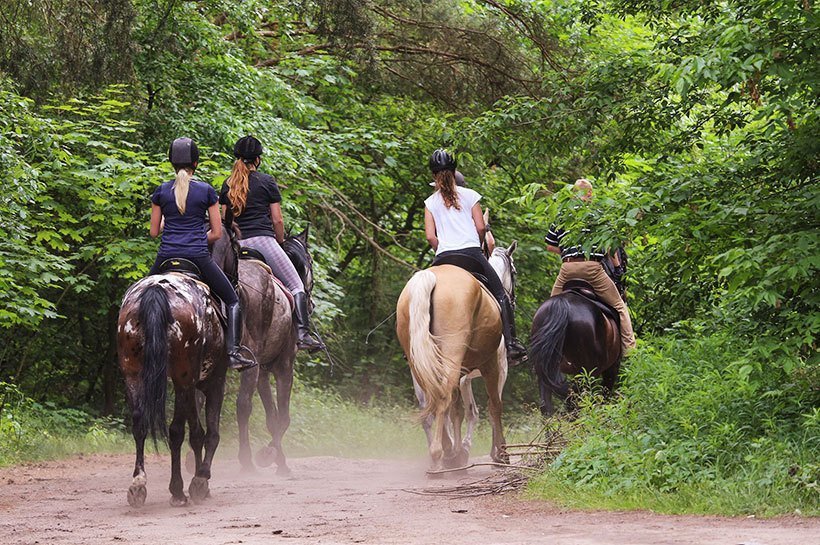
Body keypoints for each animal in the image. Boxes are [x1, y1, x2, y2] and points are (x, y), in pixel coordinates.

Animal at [117, 270, 229, 504]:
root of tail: (155, 290)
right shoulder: (213, 381)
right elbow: (206, 433)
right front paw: (200, 479)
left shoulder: (192, 385)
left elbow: (197, 432)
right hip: (182, 377)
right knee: (177, 430)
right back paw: (177, 489)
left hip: (133, 374)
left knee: (139, 423)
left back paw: (138, 484)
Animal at [394, 242, 516, 472]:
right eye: (514, 271)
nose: (512, 299)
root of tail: (429, 278)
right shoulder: (497, 367)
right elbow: (493, 406)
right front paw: (499, 454)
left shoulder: (463, 376)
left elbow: (459, 411)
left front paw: (459, 451)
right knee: (444, 399)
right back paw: (440, 455)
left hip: (420, 364)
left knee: (431, 405)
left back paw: (444, 451)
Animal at [532, 280, 620, 416]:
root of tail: (561, 304)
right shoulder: (611, 368)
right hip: (586, 372)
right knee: (579, 400)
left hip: (544, 368)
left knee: (546, 404)